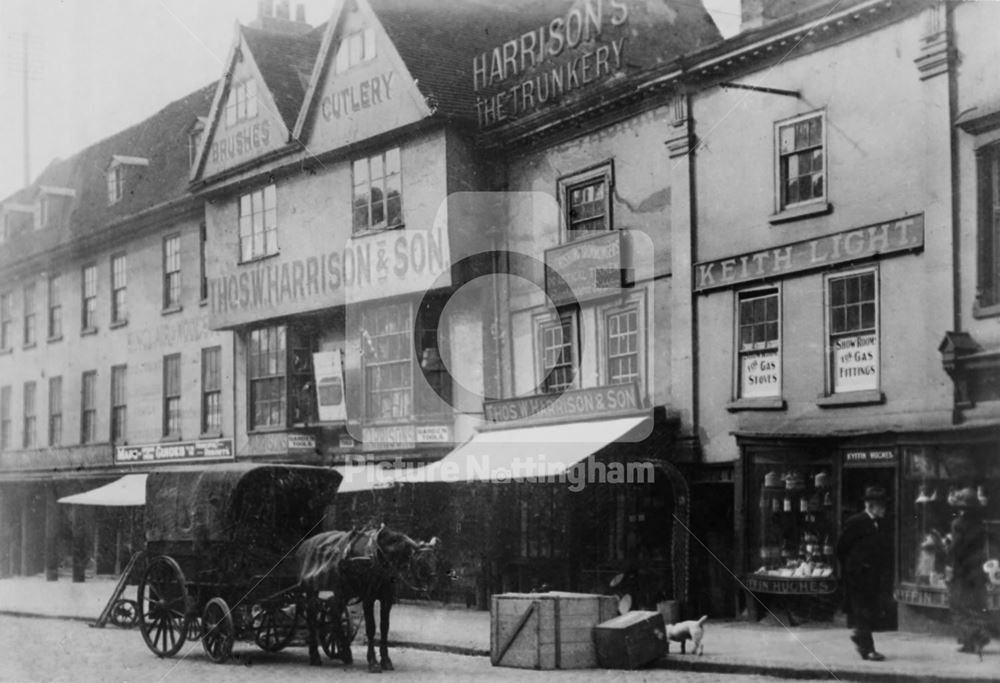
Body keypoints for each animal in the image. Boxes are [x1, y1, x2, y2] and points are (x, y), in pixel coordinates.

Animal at [292, 528, 442, 676]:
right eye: (421, 560)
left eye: (435, 560)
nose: (433, 585)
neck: (381, 559)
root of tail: (303, 545)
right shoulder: (368, 599)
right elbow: (371, 628)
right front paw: (373, 662)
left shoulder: (387, 600)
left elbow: (384, 628)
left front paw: (386, 660)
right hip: (311, 589)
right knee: (312, 618)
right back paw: (315, 656)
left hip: (342, 592)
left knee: (335, 616)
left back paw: (345, 652)